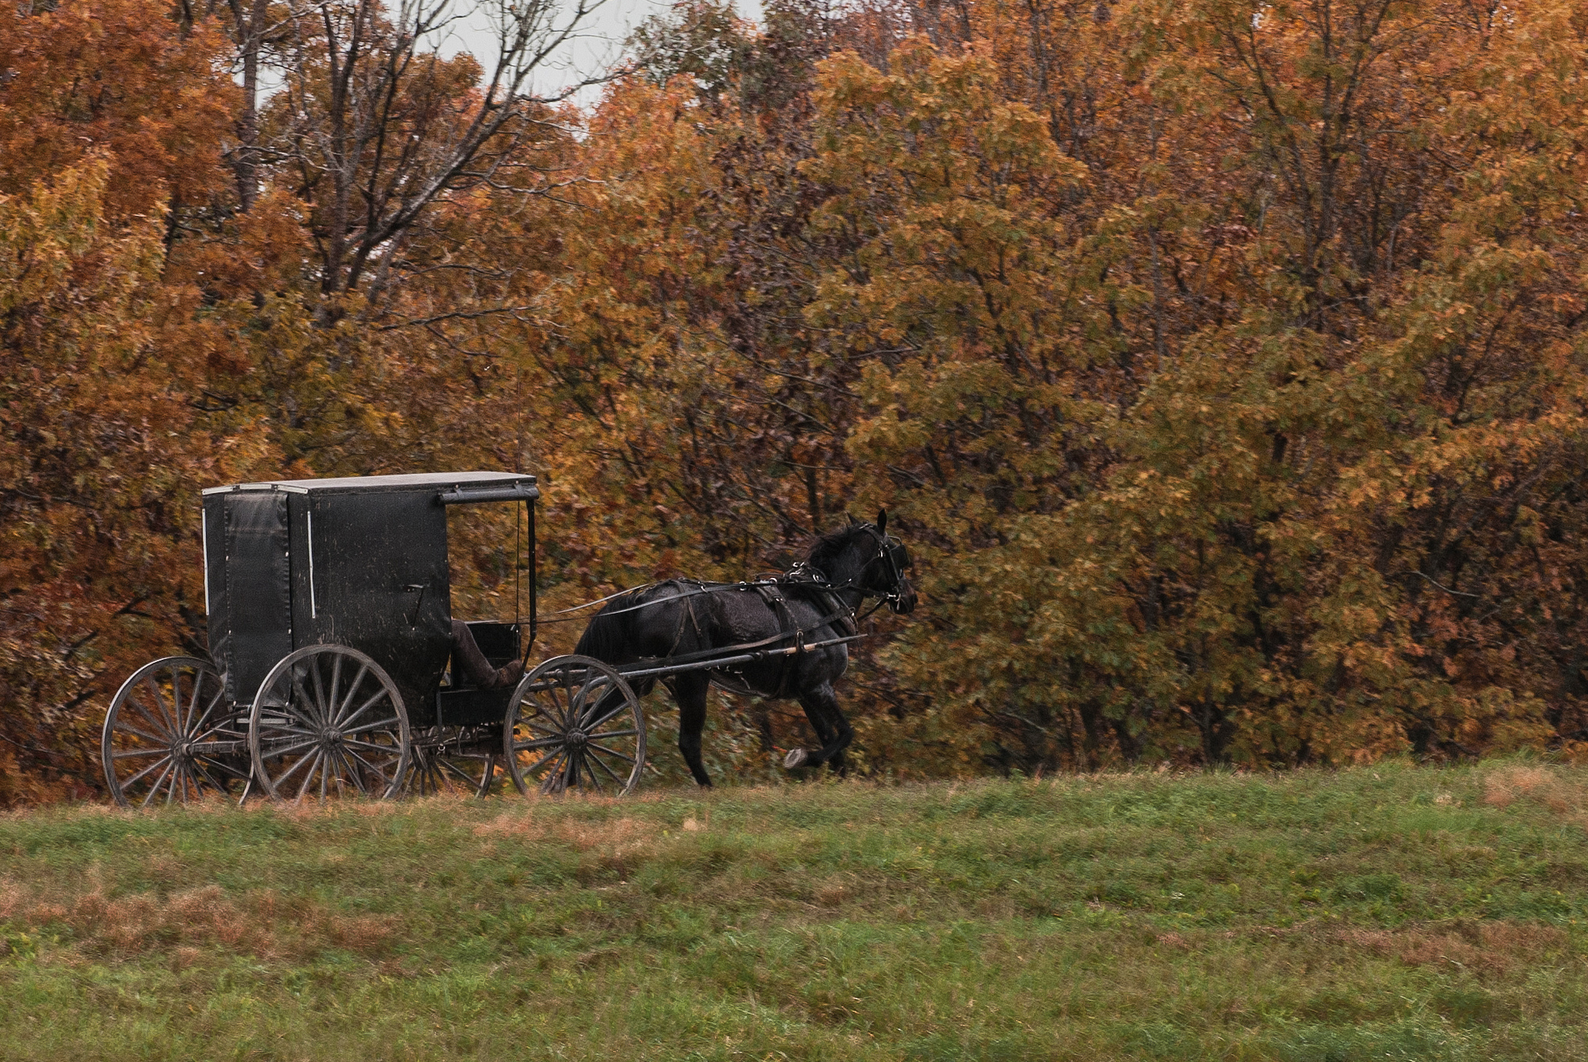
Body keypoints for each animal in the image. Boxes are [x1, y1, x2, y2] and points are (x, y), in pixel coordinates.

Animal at [571, 514, 921, 787]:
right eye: (896, 553)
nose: (910, 597)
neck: (821, 601)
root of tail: (643, 597)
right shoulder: (819, 687)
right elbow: (845, 734)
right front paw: (800, 758)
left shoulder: (806, 694)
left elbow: (832, 742)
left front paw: (838, 781)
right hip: (692, 680)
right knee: (688, 744)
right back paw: (709, 789)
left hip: (637, 678)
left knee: (585, 719)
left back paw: (570, 774)